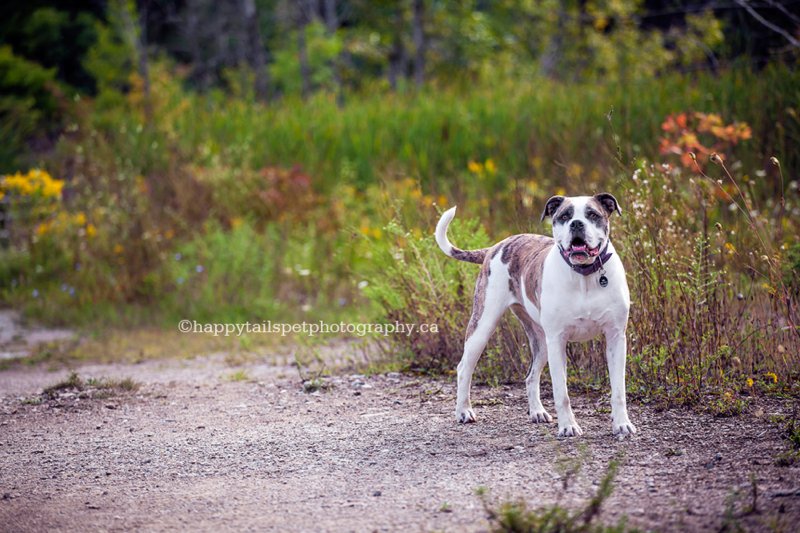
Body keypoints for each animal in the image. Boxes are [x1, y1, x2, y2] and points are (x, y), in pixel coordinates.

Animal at [434, 194, 636, 436]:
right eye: (564, 216)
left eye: (593, 214)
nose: (576, 224)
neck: (584, 275)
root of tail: (497, 246)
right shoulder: (557, 340)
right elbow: (562, 393)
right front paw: (568, 426)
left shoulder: (615, 338)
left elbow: (619, 390)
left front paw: (622, 424)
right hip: (483, 326)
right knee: (464, 368)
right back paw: (464, 411)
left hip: (540, 341)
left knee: (531, 376)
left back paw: (537, 412)